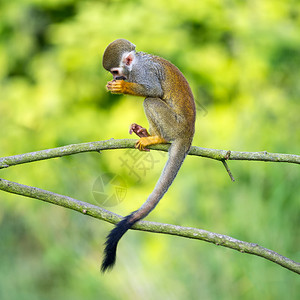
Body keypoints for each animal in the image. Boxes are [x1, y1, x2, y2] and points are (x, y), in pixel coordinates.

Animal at [101, 38, 196, 270]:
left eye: (115, 71)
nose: (114, 78)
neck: (135, 64)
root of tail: (188, 134)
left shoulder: (143, 72)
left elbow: (153, 90)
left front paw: (122, 87)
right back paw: (146, 133)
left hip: (174, 126)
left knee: (149, 100)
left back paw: (159, 138)